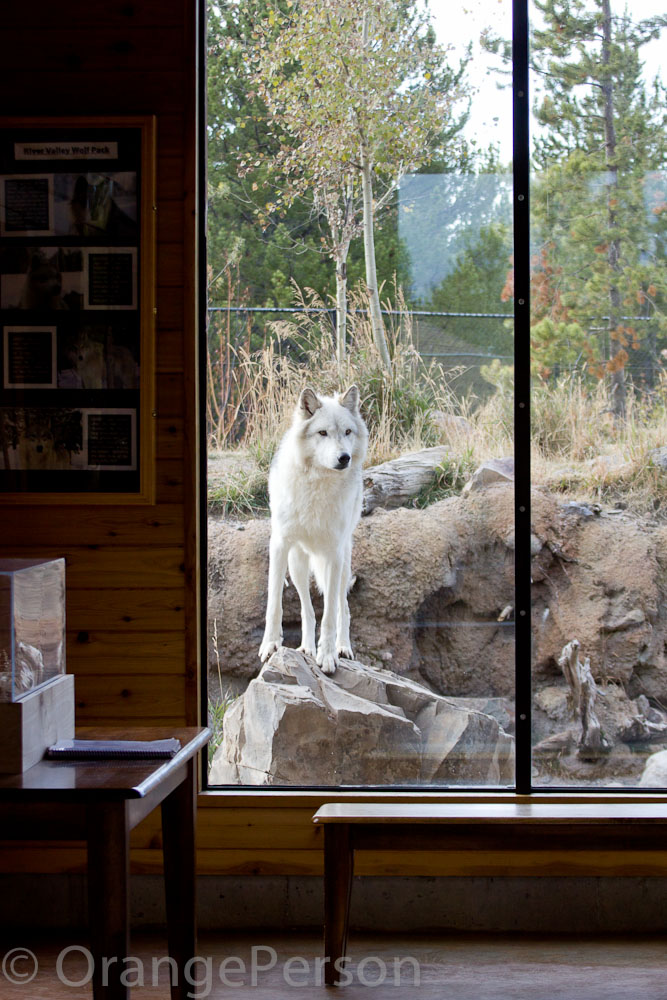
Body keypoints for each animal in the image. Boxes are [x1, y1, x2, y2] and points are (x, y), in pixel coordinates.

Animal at [259, 385, 368, 675]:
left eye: (347, 432)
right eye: (322, 433)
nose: (344, 458)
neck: (318, 484)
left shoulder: (333, 555)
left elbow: (329, 614)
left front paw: (328, 656)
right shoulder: (279, 545)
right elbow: (274, 604)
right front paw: (270, 645)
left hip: (343, 565)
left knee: (343, 607)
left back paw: (343, 648)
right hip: (297, 564)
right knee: (306, 610)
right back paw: (306, 648)